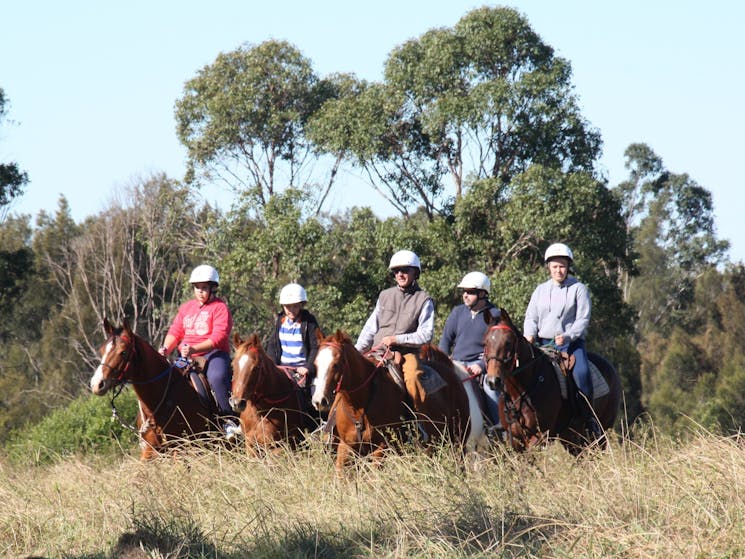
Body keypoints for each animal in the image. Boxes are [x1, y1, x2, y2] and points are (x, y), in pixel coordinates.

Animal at [480, 310, 620, 456]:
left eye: (508, 342)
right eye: (485, 343)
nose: (493, 380)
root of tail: (610, 367)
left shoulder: (540, 436)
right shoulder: (515, 438)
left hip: (600, 432)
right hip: (571, 437)